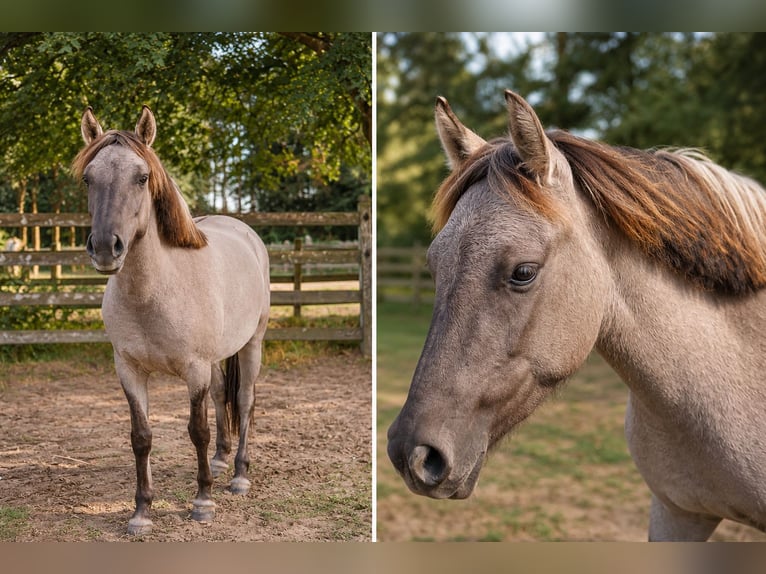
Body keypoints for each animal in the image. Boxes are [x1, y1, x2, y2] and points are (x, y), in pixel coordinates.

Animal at [71, 106, 270, 535]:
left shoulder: (194, 370)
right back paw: (220, 461)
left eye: (142, 177)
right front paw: (141, 512)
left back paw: (239, 475)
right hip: (217, 359)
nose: (105, 247)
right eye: (88, 178)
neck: (154, 292)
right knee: (221, 395)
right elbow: (142, 436)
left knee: (244, 400)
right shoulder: (129, 370)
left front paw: (203, 501)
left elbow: (197, 430)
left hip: (252, 344)